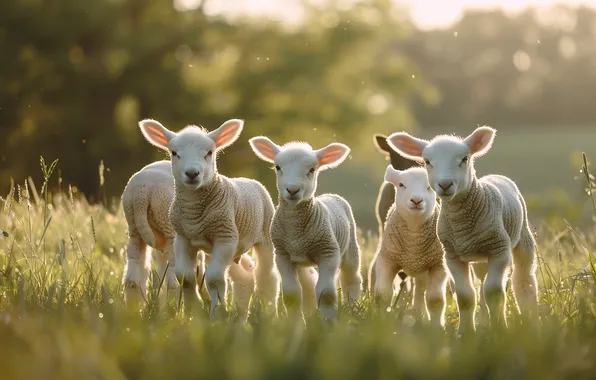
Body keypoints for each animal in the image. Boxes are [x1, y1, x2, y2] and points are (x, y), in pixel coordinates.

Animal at [122, 160, 258, 314]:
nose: (243, 312)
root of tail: (141, 195)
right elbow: (198, 271)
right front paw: (205, 301)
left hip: (134, 227)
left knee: (132, 278)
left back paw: (134, 310)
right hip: (168, 226)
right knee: (173, 280)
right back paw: (175, 310)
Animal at [137, 119, 284, 320]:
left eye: (209, 152)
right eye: (174, 153)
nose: (192, 173)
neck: (195, 214)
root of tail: (250, 180)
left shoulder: (225, 237)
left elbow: (214, 278)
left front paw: (217, 314)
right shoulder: (182, 237)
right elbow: (185, 277)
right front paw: (194, 310)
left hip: (265, 235)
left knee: (267, 276)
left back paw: (270, 314)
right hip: (236, 248)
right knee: (245, 277)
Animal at [248, 137, 364, 324]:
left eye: (311, 169)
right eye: (278, 167)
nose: (293, 190)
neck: (296, 232)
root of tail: (330, 195)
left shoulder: (328, 252)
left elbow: (326, 294)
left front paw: (328, 324)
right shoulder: (283, 255)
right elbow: (292, 295)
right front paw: (296, 324)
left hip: (350, 246)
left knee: (351, 277)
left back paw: (352, 310)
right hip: (301, 261)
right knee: (308, 282)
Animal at [368, 165, 448, 328]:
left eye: (430, 186)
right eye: (401, 184)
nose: (416, 200)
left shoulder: (438, 264)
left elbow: (435, 300)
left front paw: (436, 327)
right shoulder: (388, 259)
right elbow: (383, 295)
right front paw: (381, 321)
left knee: (420, 290)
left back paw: (418, 314)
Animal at [388, 126, 536, 336]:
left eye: (465, 159)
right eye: (427, 161)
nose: (445, 184)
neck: (462, 224)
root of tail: (496, 176)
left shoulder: (499, 250)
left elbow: (494, 293)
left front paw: (499, 330)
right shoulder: (452, 256)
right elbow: (466, 296)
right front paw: (465, 333)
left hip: (521, 237)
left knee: (524, 279)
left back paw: (530, 316)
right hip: (479, 259)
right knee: (481, 284)